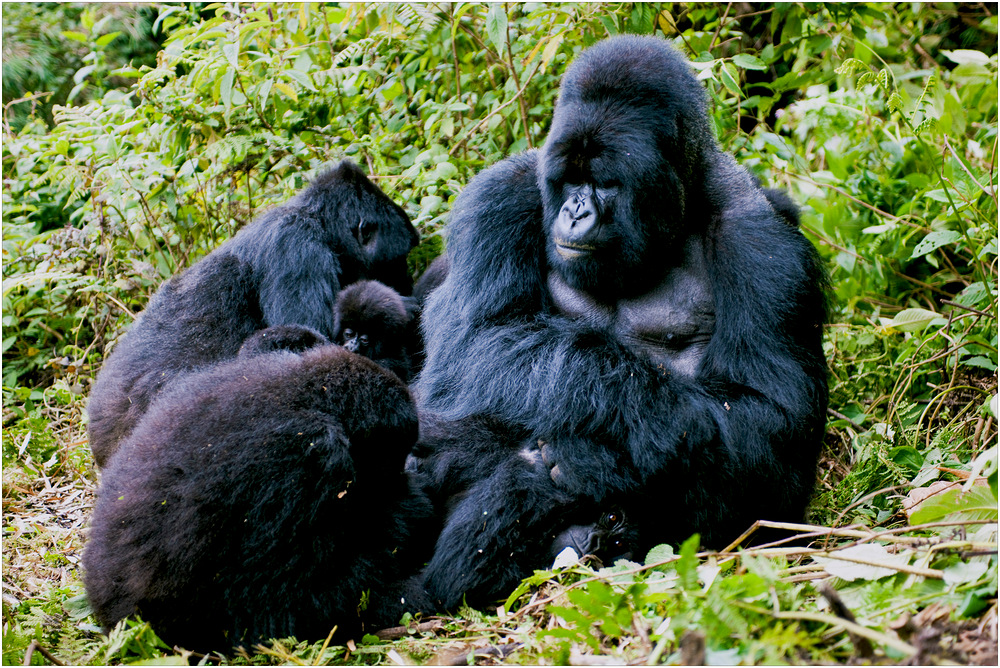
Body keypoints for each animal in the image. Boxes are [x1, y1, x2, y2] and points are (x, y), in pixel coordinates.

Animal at [412, 37, 828, 612]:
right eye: (569, 179)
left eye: (604, 183)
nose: (575, 211)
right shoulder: (497, 198)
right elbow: (474, 343)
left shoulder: (764, 242)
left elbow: (774, 416)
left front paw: (613, 453)